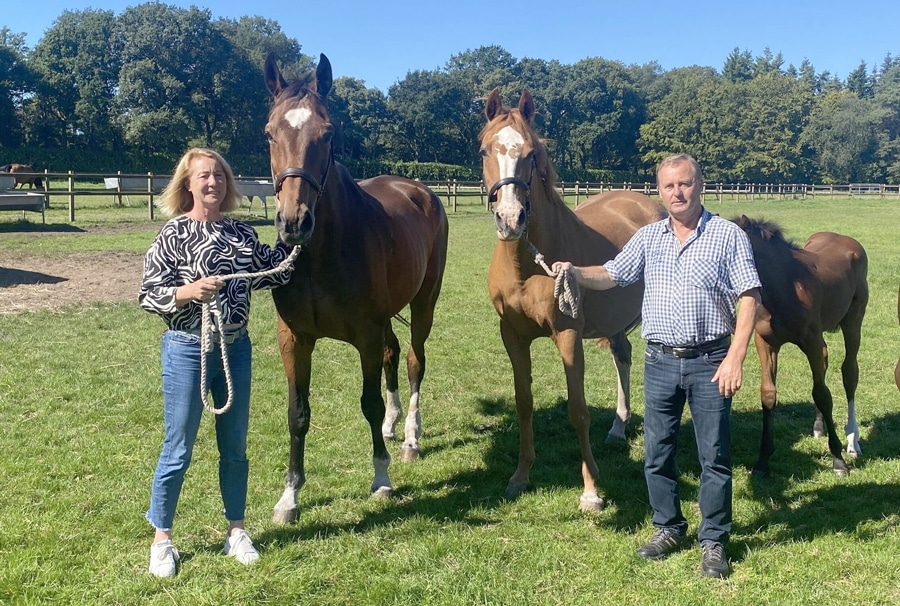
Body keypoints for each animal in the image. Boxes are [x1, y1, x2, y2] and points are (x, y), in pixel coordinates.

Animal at [263, 53, 449, 524]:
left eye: (327, 134)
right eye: (270, 132)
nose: (295, 222)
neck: (321, 255)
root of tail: (420, 188)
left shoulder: (364, 334)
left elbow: (368, 402)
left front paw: (381, 479)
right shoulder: (293, 339)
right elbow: (297, 413)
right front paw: (289, 496)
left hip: (424, 303)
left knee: (414, 360)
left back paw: (410, 438)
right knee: (393, 352)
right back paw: (394, 425)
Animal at [480, 88, 666, 511]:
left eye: (532, 153)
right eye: (484, 150)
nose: (510, 219)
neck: (527, 266)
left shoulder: (568, 335)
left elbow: (578, 411)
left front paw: (591, 490)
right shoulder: (511, 336)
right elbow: (524, 402)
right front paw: (520, 476)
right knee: (623, 354)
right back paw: (618, 427)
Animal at [734, 216, 868, 477]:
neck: (783, 288)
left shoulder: (811, 342)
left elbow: (823, 394)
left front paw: (838, 460)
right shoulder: (766, 342)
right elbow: (768, 394)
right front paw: (762, 461)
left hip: (853, 321)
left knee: (849, 372)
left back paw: (852, 441)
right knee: (825, 365)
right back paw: (818, 427)